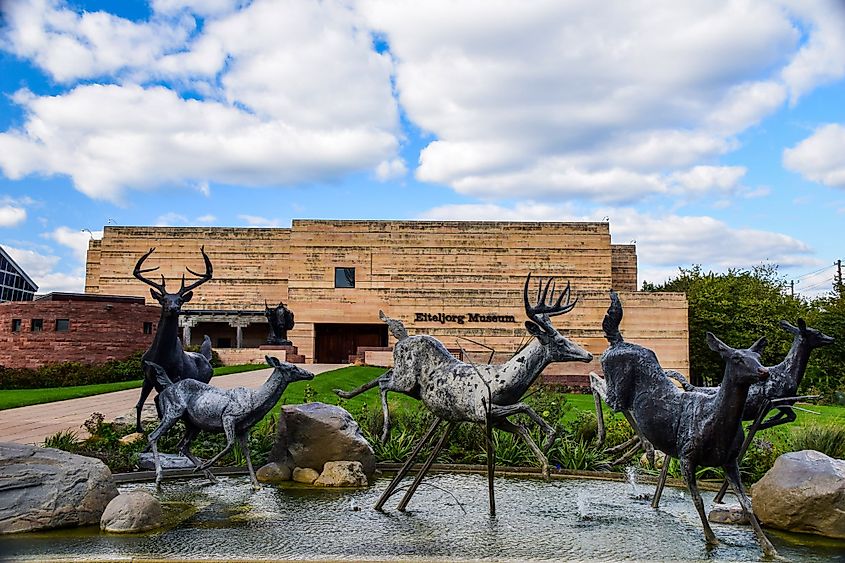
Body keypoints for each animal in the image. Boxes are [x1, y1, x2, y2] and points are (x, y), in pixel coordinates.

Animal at [134, 246, 214, 432]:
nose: (174, 308)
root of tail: (206, 358)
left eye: (180, 300)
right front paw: (139, 429)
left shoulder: (176, 376)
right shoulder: (147, 377)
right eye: (164, 299)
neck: (160, 356)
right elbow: (141, 403)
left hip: (201, 380)